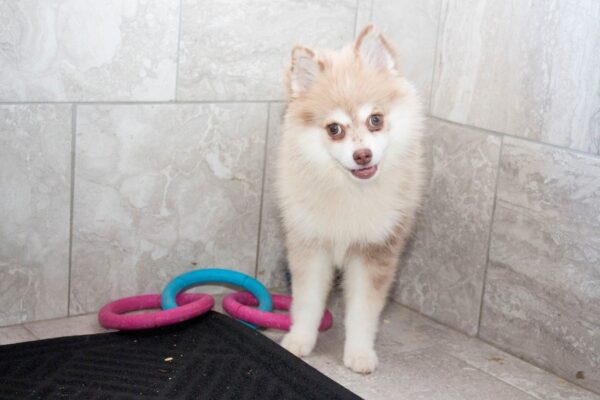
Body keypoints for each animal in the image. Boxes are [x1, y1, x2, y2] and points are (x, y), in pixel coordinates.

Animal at [274, 25, 424, 376]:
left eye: (375, 120)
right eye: (334, 129)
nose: (362, 155)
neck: (349, 189)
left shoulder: (374, 250)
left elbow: (363, 312)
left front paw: (359, 353)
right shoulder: (310, 243)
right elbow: (308, 301)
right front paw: (299, 340)